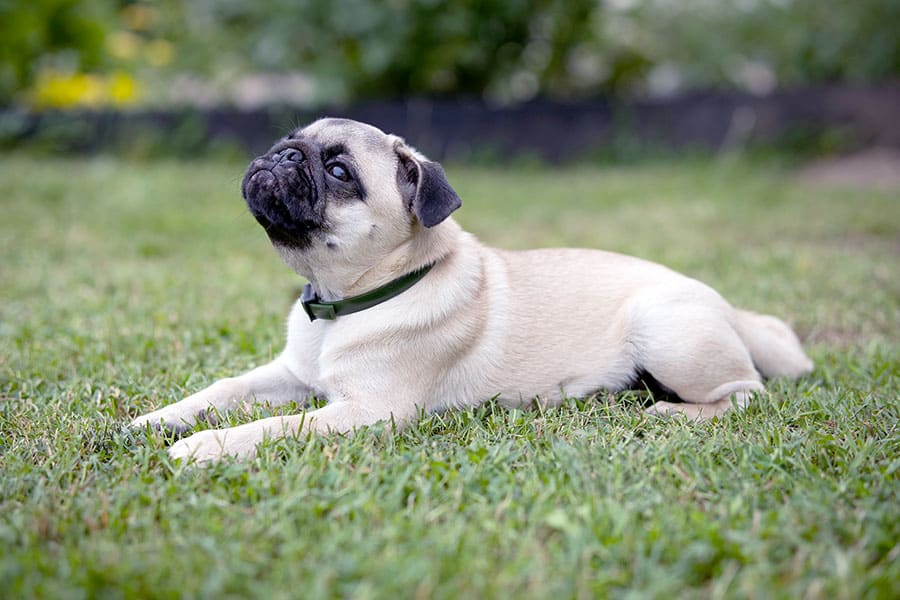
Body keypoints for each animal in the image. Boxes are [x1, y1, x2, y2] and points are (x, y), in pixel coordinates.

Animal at [128, 117, 816, 464]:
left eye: (340, 171)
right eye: (285, 144)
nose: (284, 155)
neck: (342, 303)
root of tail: (727, 307)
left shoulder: (367, 411)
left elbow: (270, 429)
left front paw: (201, 447)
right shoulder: (291, 375)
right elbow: (221, 391)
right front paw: (155, 421)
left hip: (666, 331)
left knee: (745, 394)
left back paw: (670, 412)